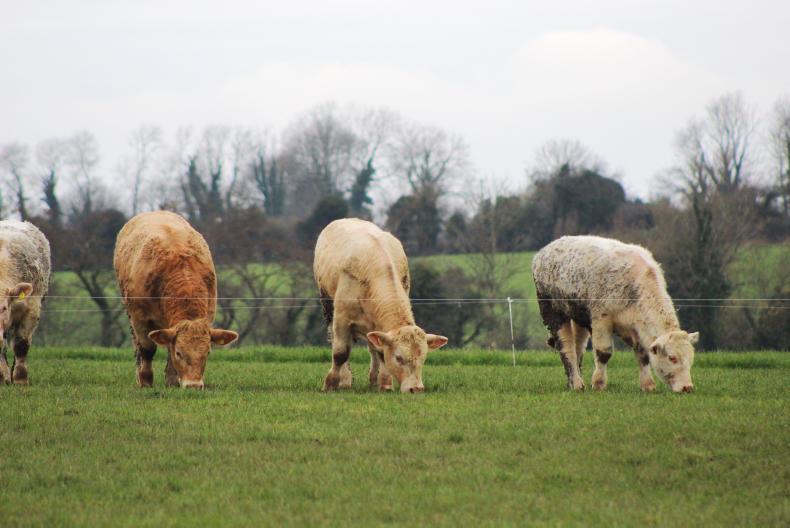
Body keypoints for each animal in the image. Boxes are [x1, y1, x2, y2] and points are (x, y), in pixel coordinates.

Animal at [114, 211, 238, 389]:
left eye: (207, 352)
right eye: (179, 353)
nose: (194, 385)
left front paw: (172, 382)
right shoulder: (140, 317)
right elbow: (147, 349)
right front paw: (145, 381)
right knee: (137, 345)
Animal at [313, 218, 448, 393]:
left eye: (423, 358)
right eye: (399, 358)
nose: (416, 388)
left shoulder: (380, 326)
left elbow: (381, 353)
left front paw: (385, 384)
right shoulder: (342, 319)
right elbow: (340, 353)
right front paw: (330, 384)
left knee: (373, 349)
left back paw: (372, 380)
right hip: (328, 307)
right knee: (336, 342)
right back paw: (345, 380)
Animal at [532, 235, 697, 393]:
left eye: (691, 357)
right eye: (672, 358)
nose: (687, 387)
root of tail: (544, 251)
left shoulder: (636, 325)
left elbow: (643, 354)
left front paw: (648, 385)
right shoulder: (601, 319)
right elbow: (603, 353)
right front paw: (598, 383)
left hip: (579, 316)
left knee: (578, 346)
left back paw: (572, 383)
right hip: (553, 311)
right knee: (567, 348)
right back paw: (578, 384)